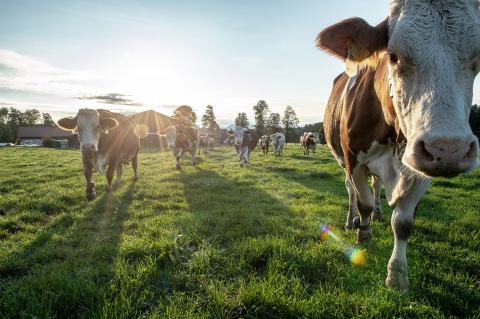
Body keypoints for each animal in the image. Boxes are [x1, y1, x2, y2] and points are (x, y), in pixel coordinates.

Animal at [316, 0, 478, 294]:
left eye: (478, 58)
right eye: (392, 56)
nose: (449, 150)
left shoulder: (422, 169)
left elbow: (402, 222)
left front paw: (397, 275)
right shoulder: (354, 161)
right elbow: (363, 202)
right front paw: (363, 236)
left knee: (378, 186)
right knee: (351, 192)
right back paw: (351, 220)